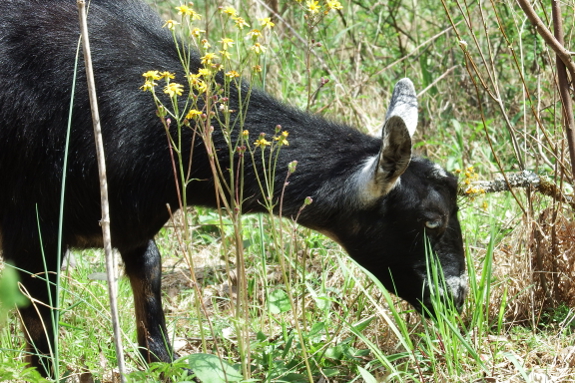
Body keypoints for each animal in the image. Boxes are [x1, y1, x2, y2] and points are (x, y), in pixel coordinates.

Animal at [0, 0, 468, 378]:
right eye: (432, 221)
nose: (459, 296)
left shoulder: (134, 224)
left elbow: (152, 303)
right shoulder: (33, 237)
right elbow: (43, 346)